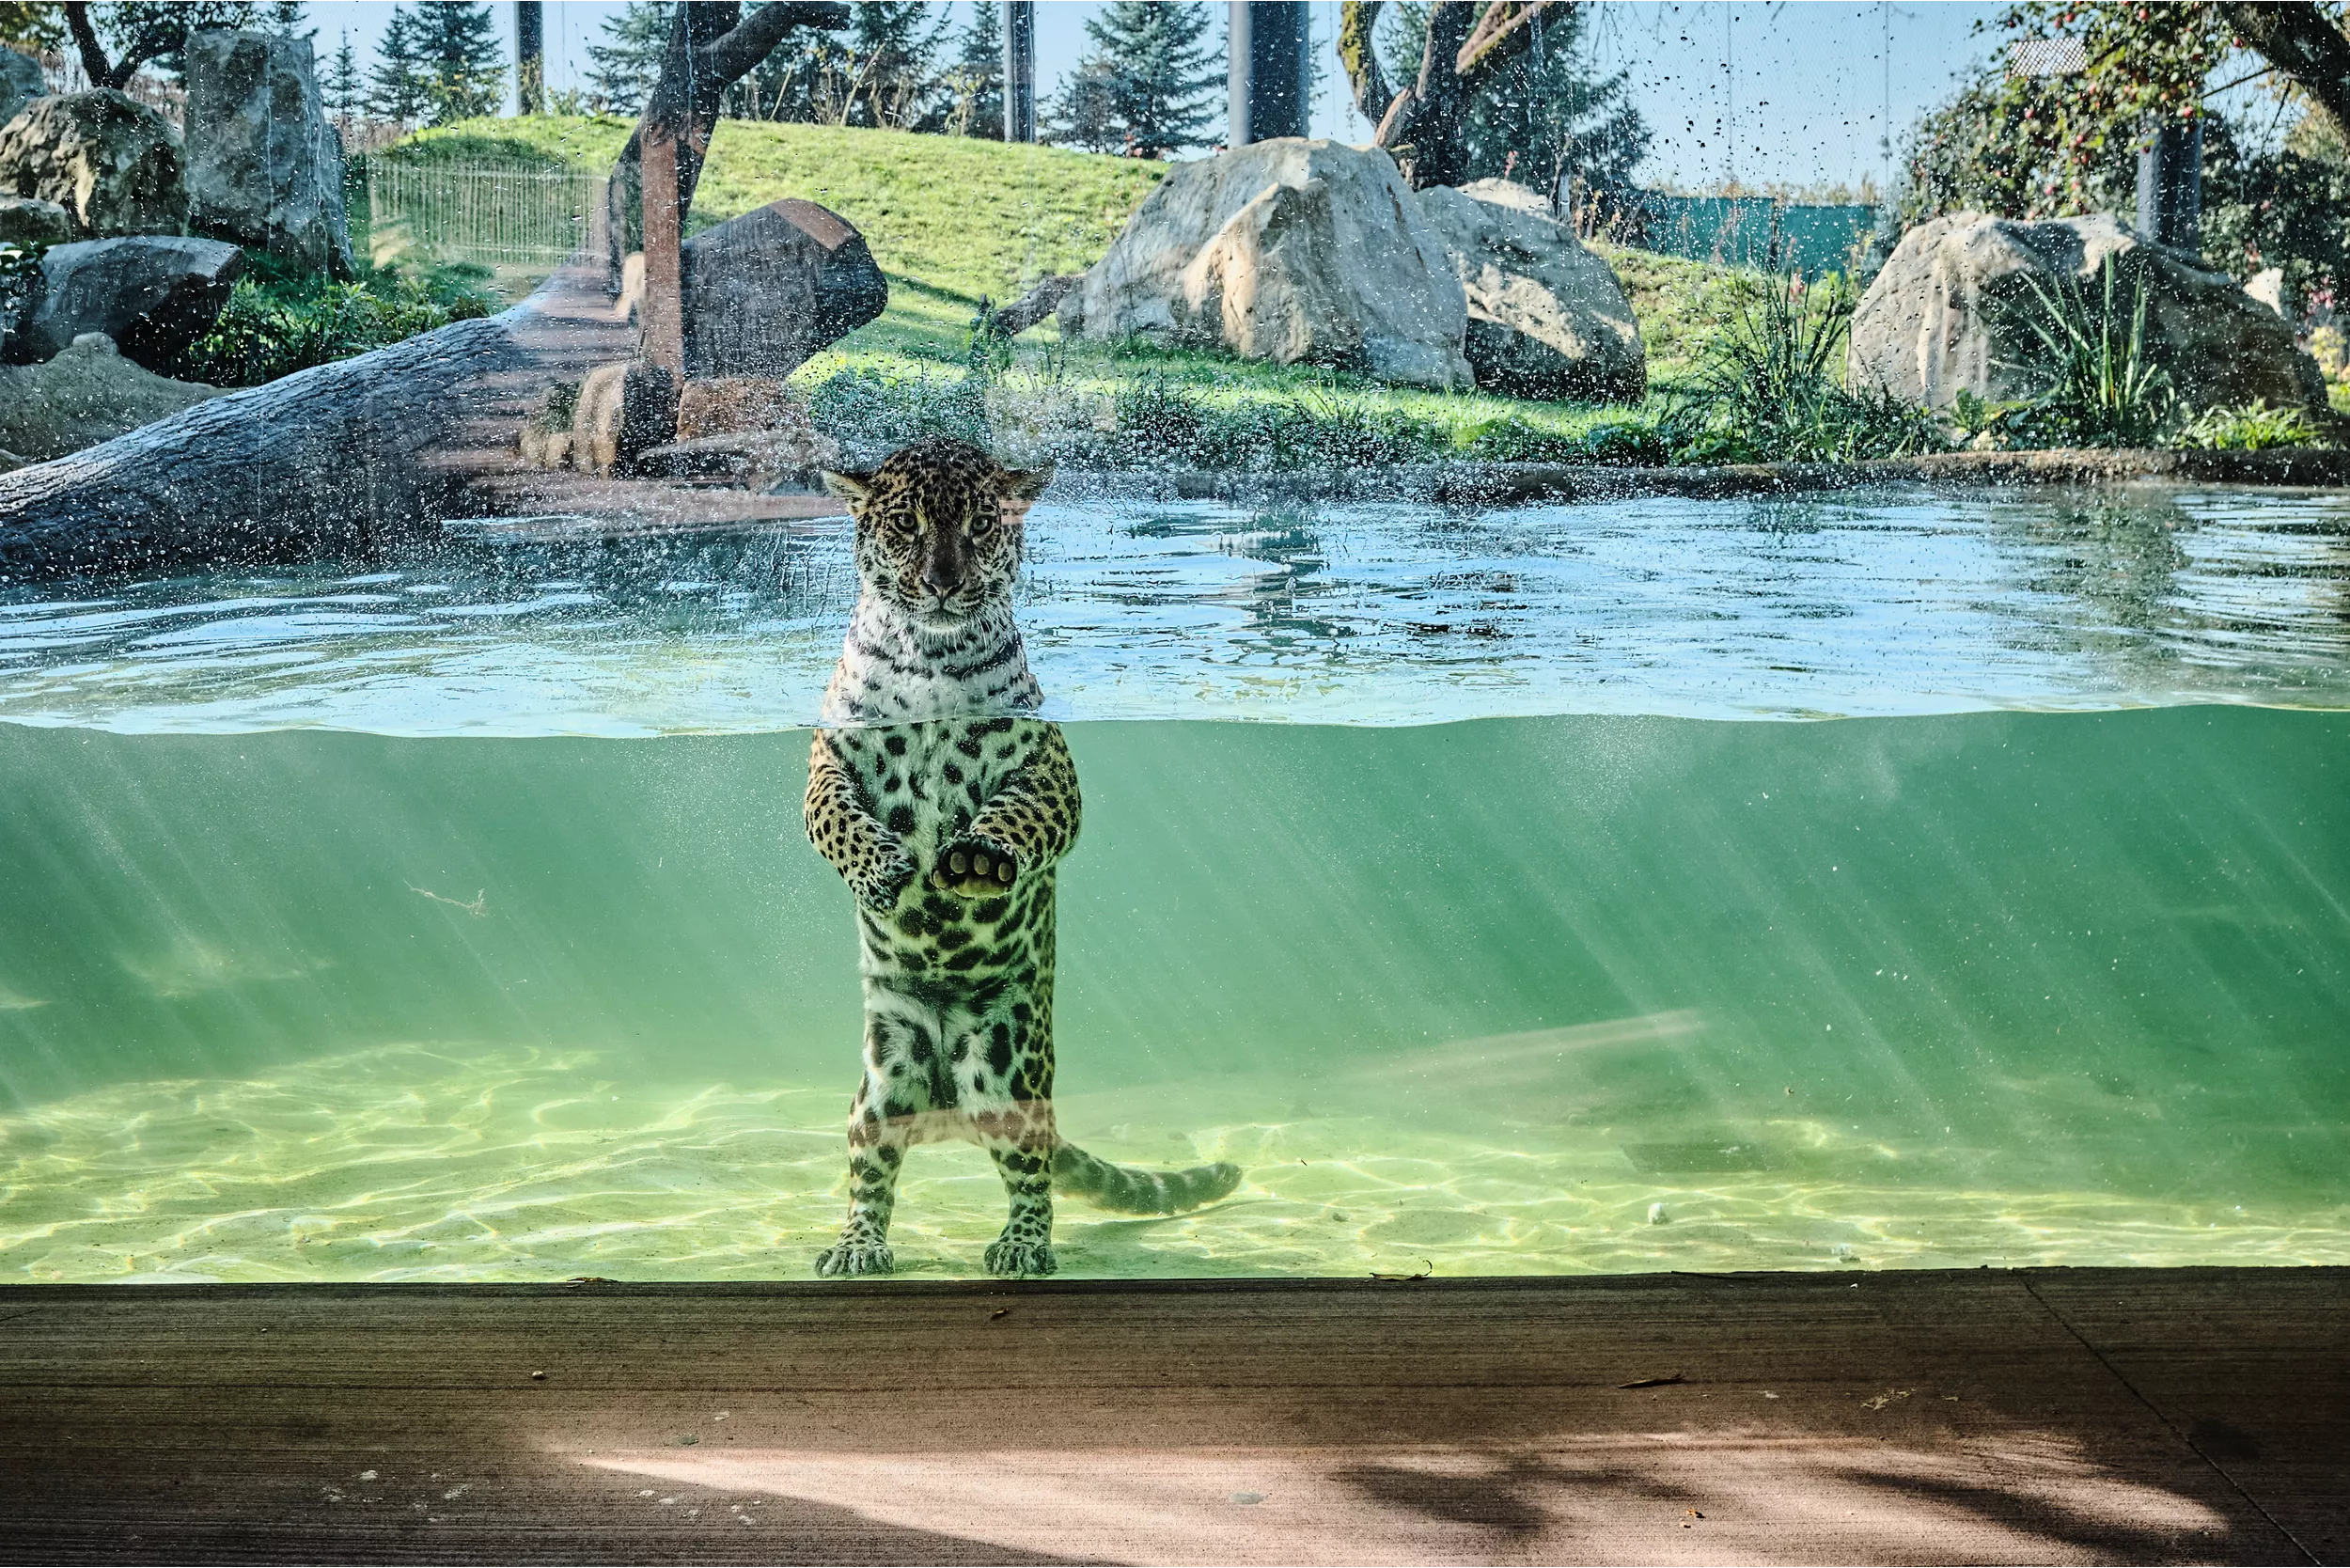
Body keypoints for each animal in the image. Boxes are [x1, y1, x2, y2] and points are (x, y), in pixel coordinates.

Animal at [804, 435, 1243, 1279]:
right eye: (905, 524)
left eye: (980, 525)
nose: (943, 584)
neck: (932, 663)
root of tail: (945, 1102)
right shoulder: (827, 754)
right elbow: (831, 815)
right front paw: (880, 867)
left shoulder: (1049, 766)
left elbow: (1023, 812)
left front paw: (978, 858)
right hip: (884, 1078)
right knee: (871, 1167)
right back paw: (858, 1246)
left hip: (1004, 1069)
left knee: (1029, 1169)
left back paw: (1022, 1245)